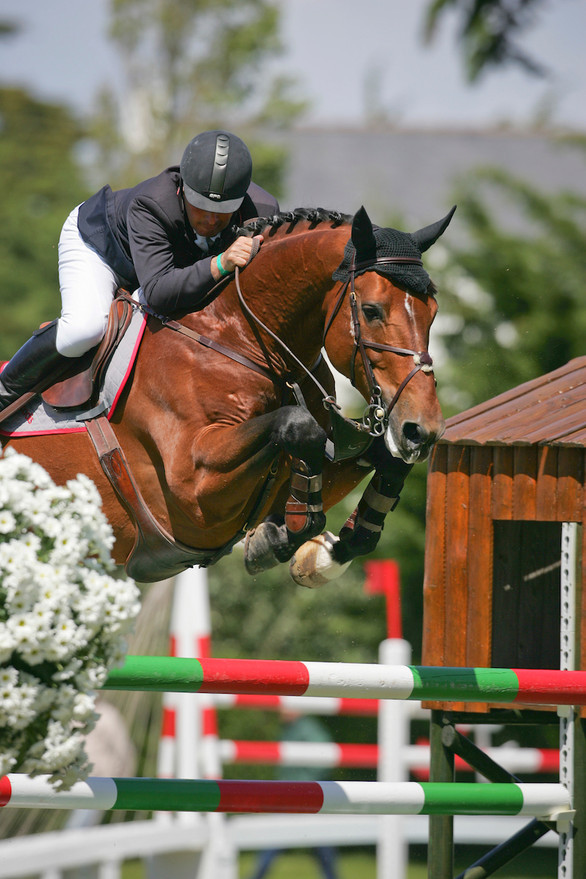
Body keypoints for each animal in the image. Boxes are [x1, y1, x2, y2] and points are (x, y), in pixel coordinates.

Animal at [1, 206, 452, 588]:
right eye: (373, 311)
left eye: (433, 312)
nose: (422, 430)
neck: (241, 339)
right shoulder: (193, 489)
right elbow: (296, 425)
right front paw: (286, 535)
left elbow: (384, 460)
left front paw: (317, 552)